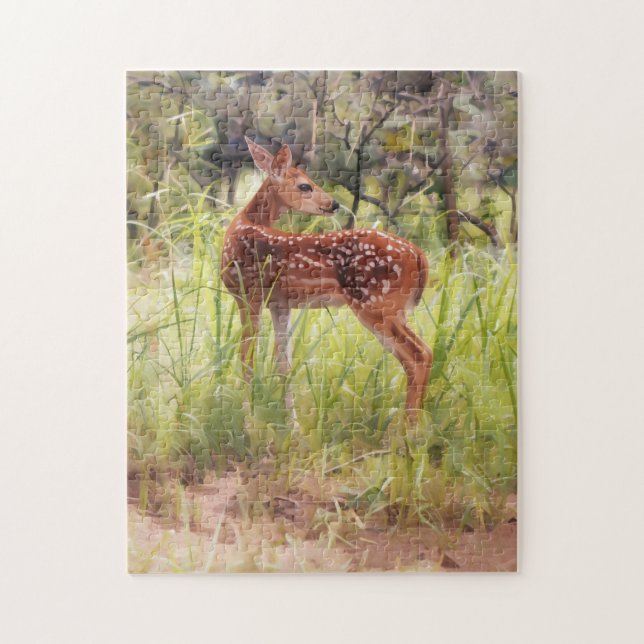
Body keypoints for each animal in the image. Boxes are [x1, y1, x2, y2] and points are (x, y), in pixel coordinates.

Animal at [221, 138, 433, 424]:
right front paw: (291, 424)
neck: (242, 226)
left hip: (376, 304)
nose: (333, 204)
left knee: (419, 355)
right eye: (304, 185)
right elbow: (283, 362)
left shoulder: (247, 294)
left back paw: (408, 427)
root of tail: (419, 256)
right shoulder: (279, 304)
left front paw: (248, 420)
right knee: (420, 355)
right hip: (393, 309)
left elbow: (247, 357)